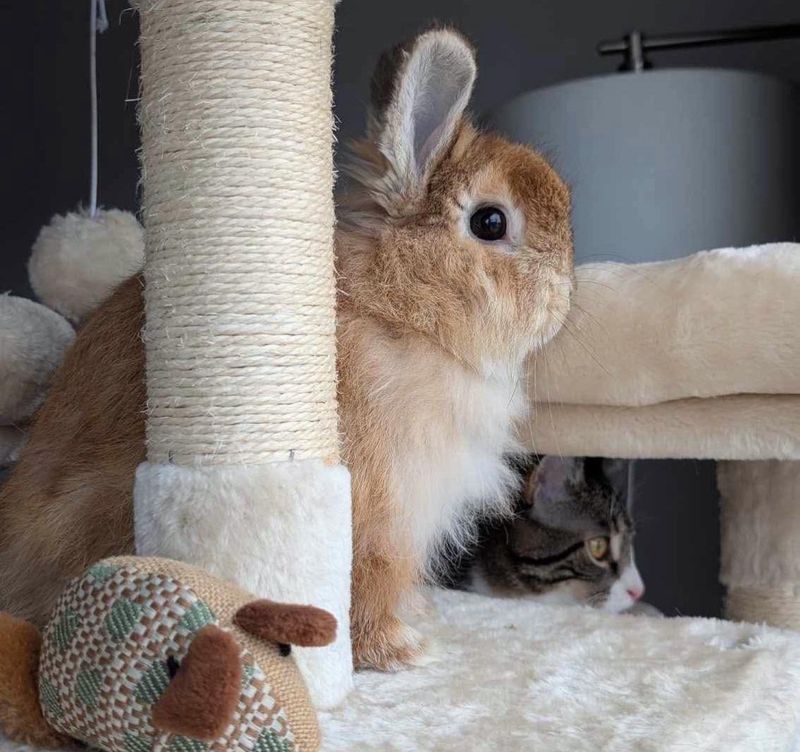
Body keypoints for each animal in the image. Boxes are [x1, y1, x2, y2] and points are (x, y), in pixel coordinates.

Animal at [0, 29, 576, 668]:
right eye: (491, 222)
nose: (563, 298)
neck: (394, 309)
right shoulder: (376, 507)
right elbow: (367, 578)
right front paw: (400, 650)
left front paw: (416, 620)